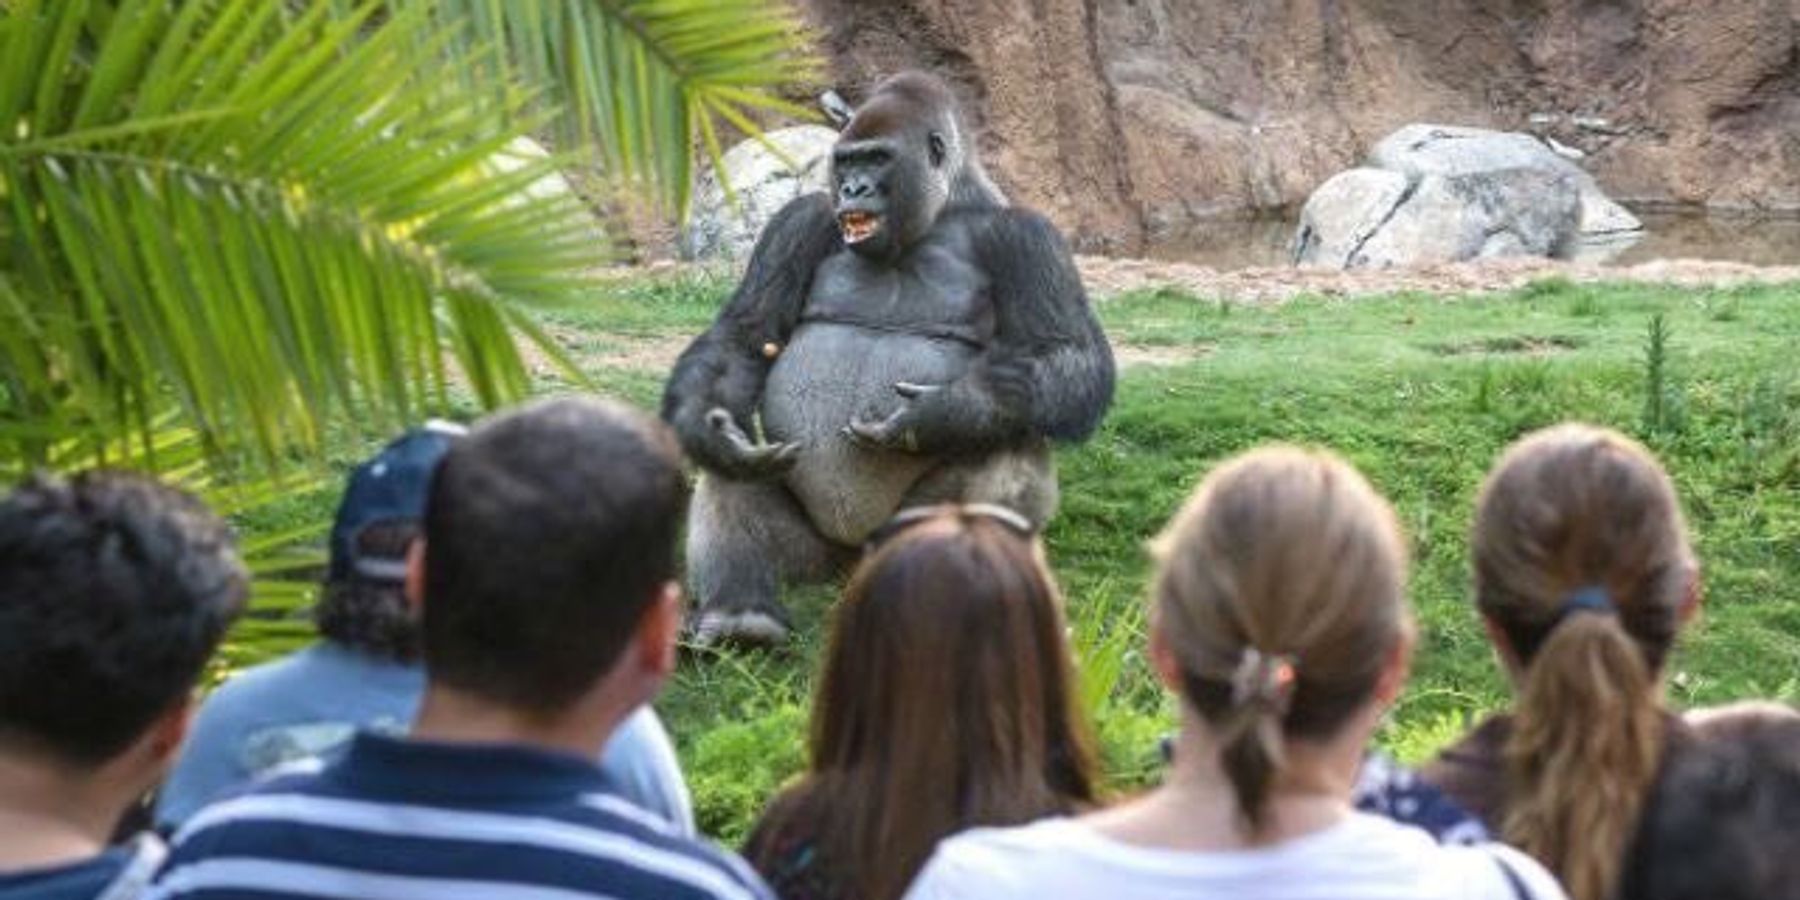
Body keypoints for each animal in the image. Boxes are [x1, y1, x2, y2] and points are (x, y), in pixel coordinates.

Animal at [662, 71, 1114, 644]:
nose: (853, 189)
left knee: (1011, 438)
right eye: (846, 162)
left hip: (892, 545)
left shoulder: (1031, 236)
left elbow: (1069, 355)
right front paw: (707, 430)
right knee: (733, 468)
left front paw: (946, 410)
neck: (945, 207)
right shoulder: (798, 221)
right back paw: (740, 614)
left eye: (878, 159)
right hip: (813, 562)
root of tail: (850, 563)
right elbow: (745, 338)